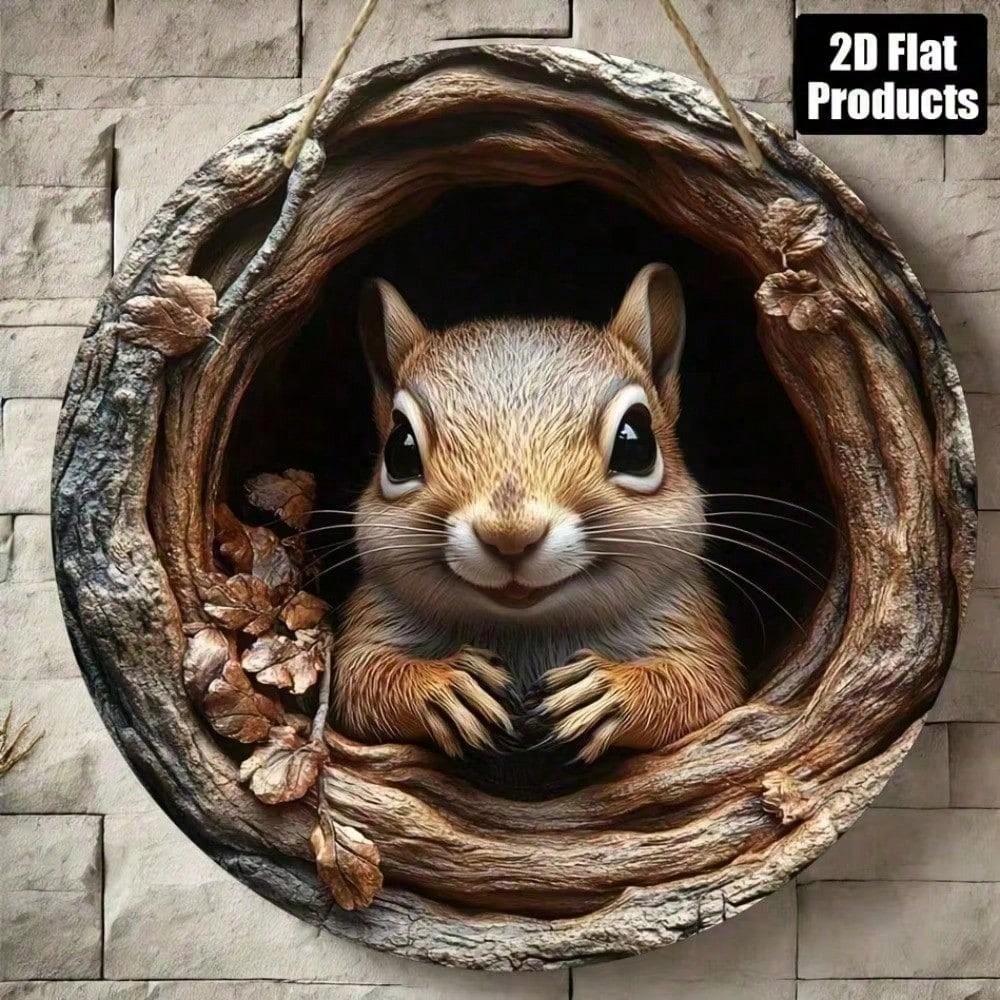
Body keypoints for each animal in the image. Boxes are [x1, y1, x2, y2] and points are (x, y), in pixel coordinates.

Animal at [331, 263, 745, 764]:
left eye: (636, 442)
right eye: (400, 451)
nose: (510, 536)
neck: (529, 627)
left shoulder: (691, 622)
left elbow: (703, 685)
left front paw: (606, 692)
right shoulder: (371, 621)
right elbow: (360, 681)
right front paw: (448, 687)